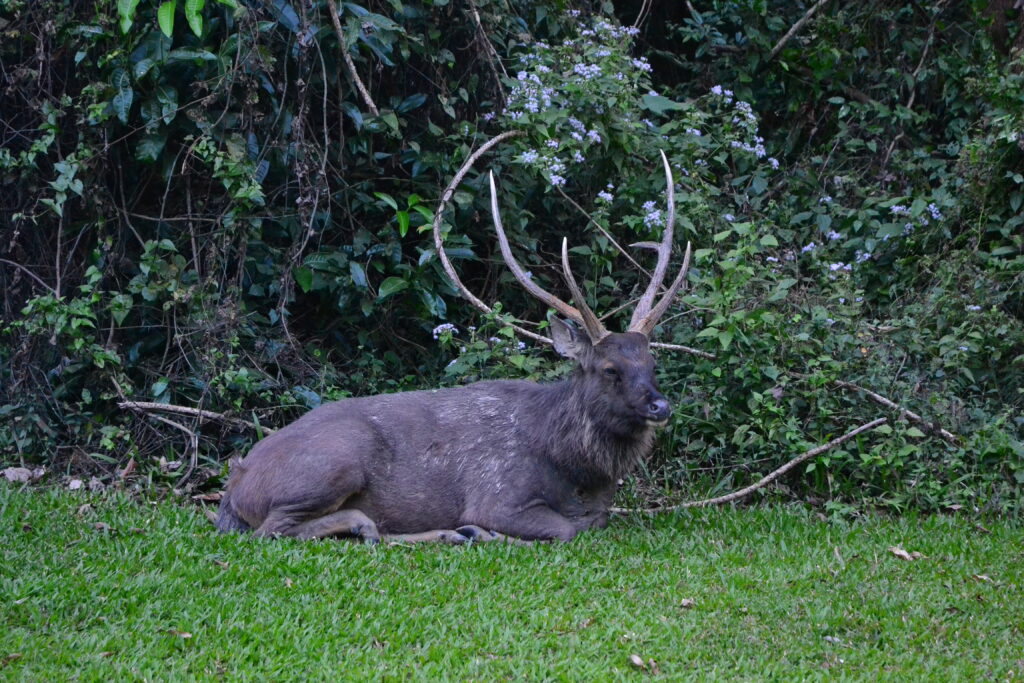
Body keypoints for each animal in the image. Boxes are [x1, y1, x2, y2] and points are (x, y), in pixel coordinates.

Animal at [215, 149, 694, 543]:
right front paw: (486, 532)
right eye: (609, 369)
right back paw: (391, 526)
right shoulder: (497, 494)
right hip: (333, 461)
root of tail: (235, 485)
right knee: (275, 528)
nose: (660, 406)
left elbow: (595, 521)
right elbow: (566, 530)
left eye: (652, 364)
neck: (573, 468)